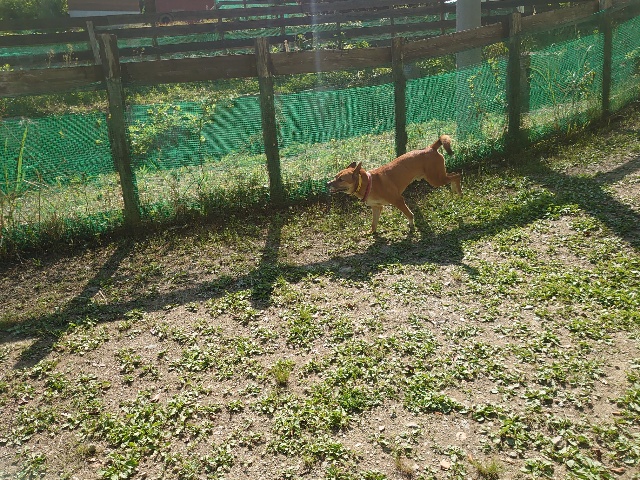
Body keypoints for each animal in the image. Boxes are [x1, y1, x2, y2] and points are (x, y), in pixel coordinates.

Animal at [327, 135, 461, 233]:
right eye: (335, 177)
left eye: (341, 179)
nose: (327, 184)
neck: (368, 183)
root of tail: (431, 147)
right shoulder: (376, 207)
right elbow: (374, 223)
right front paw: (372, 234)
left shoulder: (398, 200)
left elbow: (409, 214)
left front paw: (411, 226)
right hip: (437, 177)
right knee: (454, 175)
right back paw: (455, 190)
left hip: (436, 179)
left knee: (457, 175)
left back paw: (459, 192)